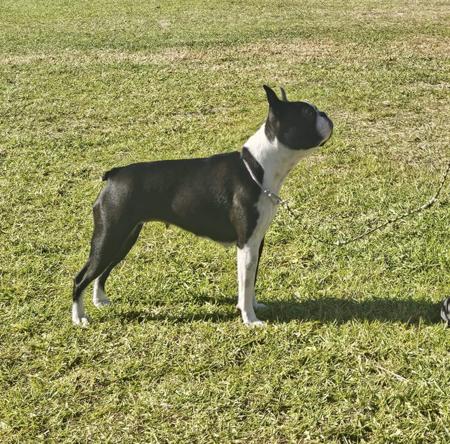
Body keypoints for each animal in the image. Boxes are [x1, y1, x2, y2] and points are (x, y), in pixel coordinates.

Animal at [72, 85, 333, 326]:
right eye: (307, 113)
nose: (325, 114)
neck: (258, 167)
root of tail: (114, 174)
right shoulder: (246, 243)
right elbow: (246, 281)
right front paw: (250, 319)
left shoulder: (257, 241)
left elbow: (250, 279)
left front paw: (253, 306)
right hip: (110, 235)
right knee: (81, 277)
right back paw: (79, 317)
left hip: (124, 238)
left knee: (101, 272)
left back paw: (99, 300)